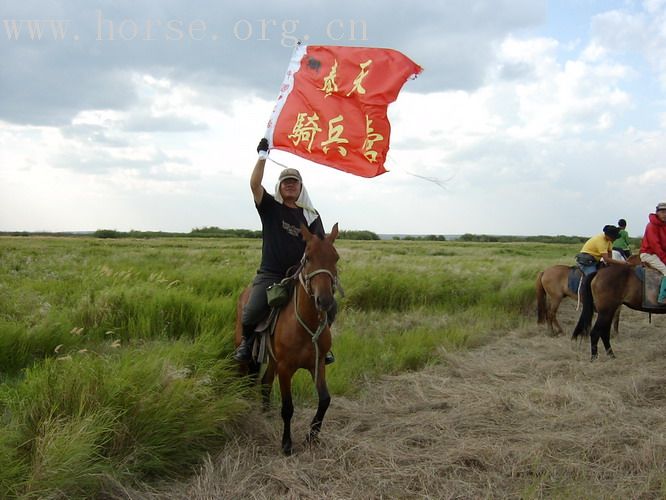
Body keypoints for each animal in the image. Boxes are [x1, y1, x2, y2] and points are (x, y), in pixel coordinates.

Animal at [232, 223, 338, 454]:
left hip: (272, 360)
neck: (306, 325)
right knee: (244, 379)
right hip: (248, 356)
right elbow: (288, 407)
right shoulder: (285, 368)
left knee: (264, 383)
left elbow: (325, 399)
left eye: (336, 258)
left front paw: (312, 436)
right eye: (308, 258)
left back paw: (266, 413)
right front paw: (287, 444)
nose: (324, 300)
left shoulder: (317, 363)